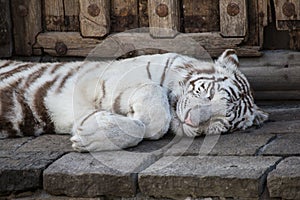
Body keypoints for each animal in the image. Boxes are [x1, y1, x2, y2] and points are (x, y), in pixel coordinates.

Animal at [0, 49, 268, 152]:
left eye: (219, 122)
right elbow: (155, 107)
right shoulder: (101, 82)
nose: (192, 121)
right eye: (210, 94)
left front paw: (92, 133)